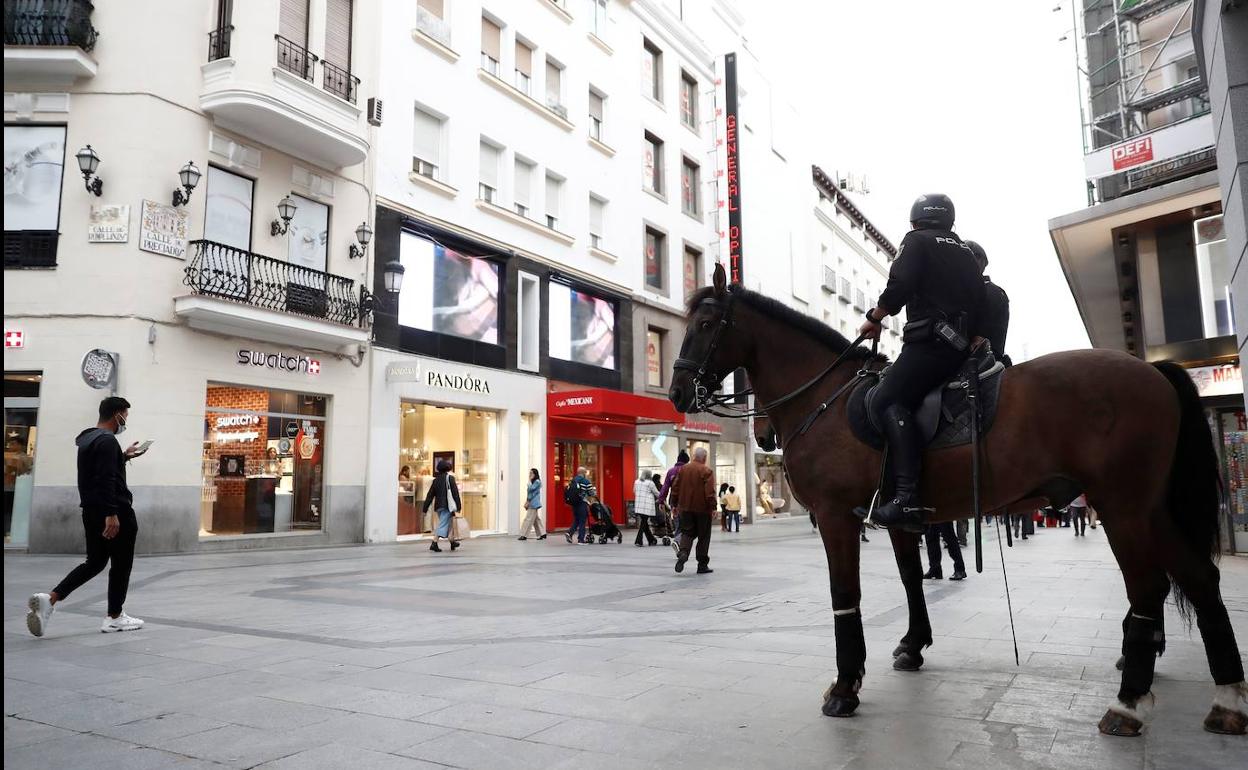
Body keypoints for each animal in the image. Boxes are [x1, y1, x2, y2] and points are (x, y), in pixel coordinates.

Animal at [673, 263, 1248, 733]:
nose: (679, 393)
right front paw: (912, 645)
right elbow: (911, 579)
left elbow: (845, 596)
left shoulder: (837, 516)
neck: (826, 400)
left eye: (705, 325)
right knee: (1200, 578)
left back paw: (1129, 703)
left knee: (1149, 588)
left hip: (1122, 505)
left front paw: (845, 686)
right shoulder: (898, 517)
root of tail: (1153, 371)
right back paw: (1226, 698)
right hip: (1151, 508)